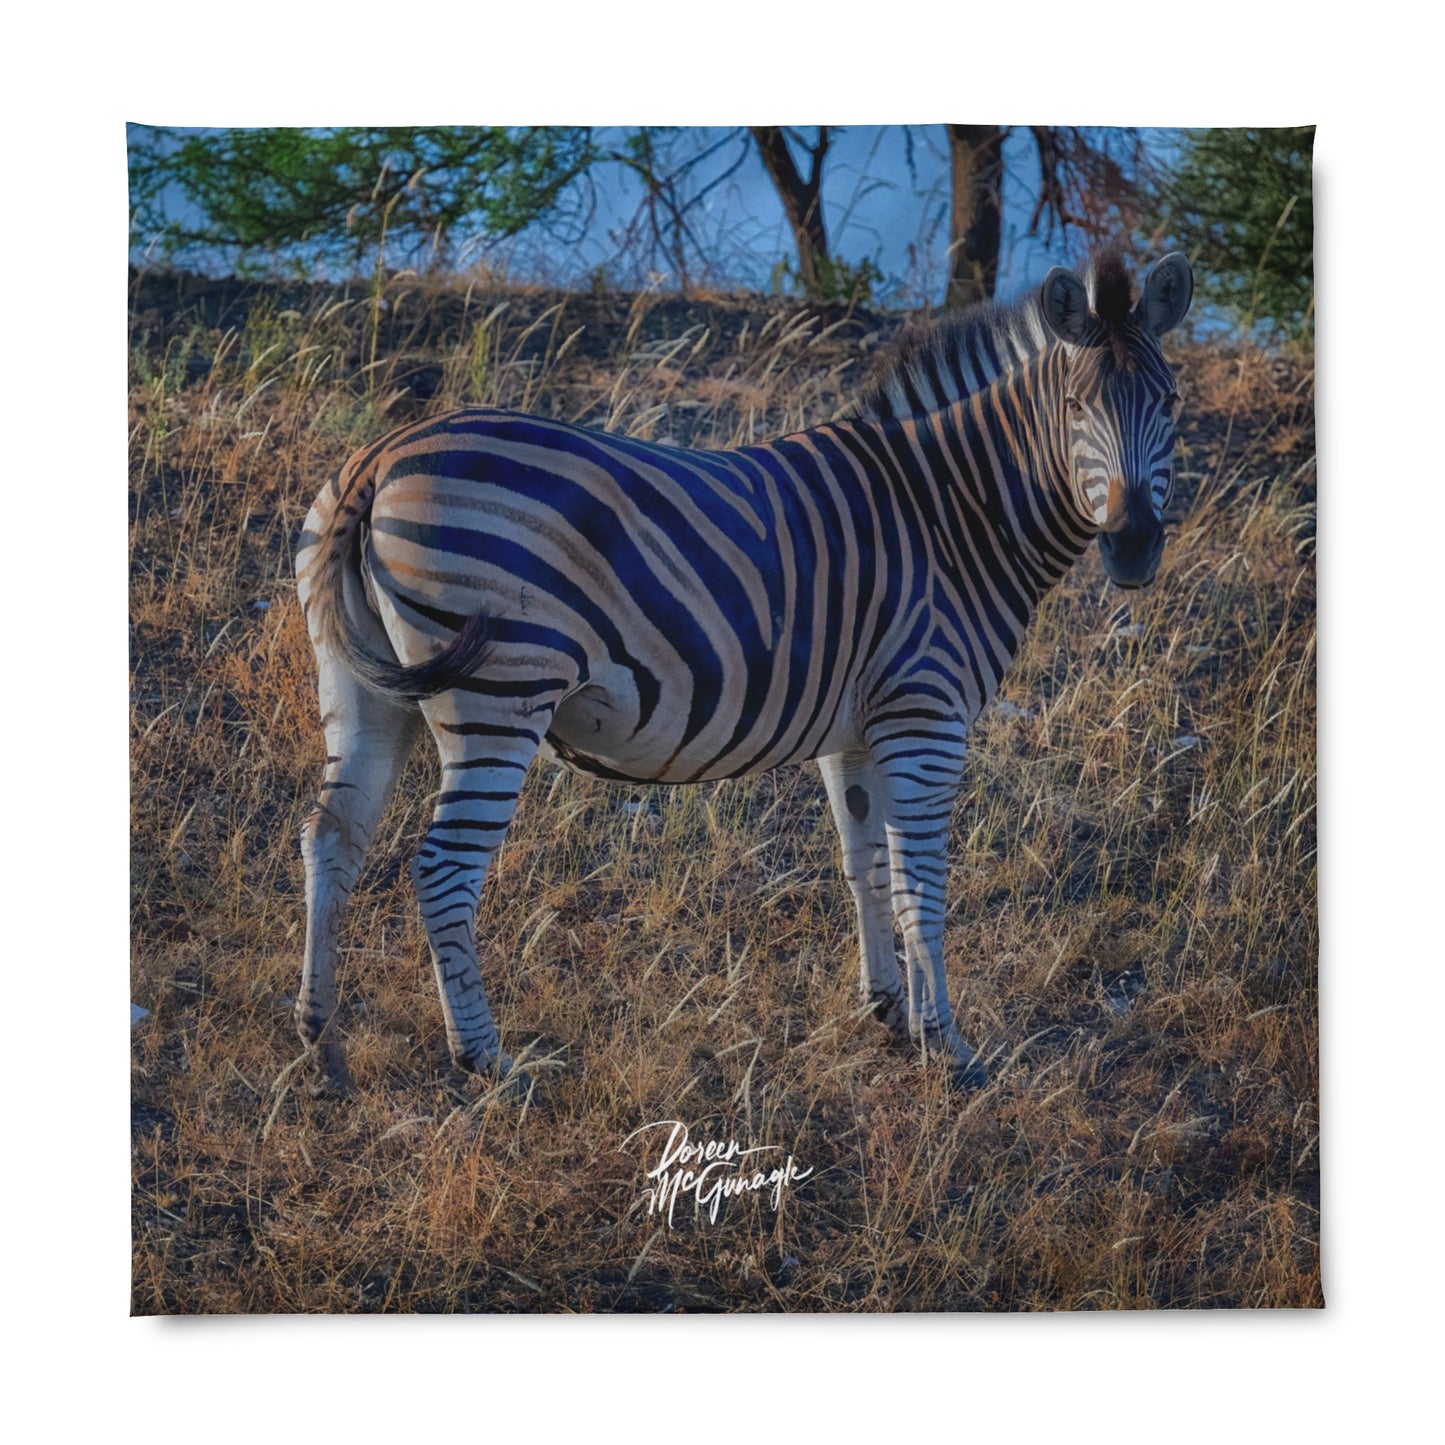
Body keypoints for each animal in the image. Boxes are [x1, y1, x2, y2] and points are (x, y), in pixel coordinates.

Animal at [293, 250, 1193, 1097]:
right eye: (1075, 408)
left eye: (1171, 404)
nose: (1133, 547)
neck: (951, 514)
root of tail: (380, 457)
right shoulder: (924, 716)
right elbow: (919, 882)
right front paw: (948, 1044)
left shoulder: (856, 731)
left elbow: (863, 864)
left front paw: (888, 1011)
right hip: (499, 693)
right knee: (444, 870)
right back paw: (487, 1061)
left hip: (360, 688)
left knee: (332, 838)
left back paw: (322, 1042)